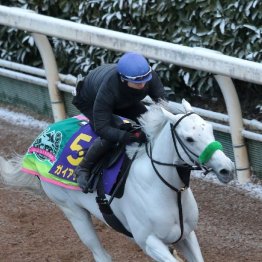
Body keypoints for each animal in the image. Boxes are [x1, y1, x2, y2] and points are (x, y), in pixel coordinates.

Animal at [0, 99, 233, 260]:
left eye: (210, 129)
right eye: (189, 138)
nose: (226, 169)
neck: (167, 190)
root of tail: (38, 143)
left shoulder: (187, 235)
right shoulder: (149, 241)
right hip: (72, 210)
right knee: (100, 254)